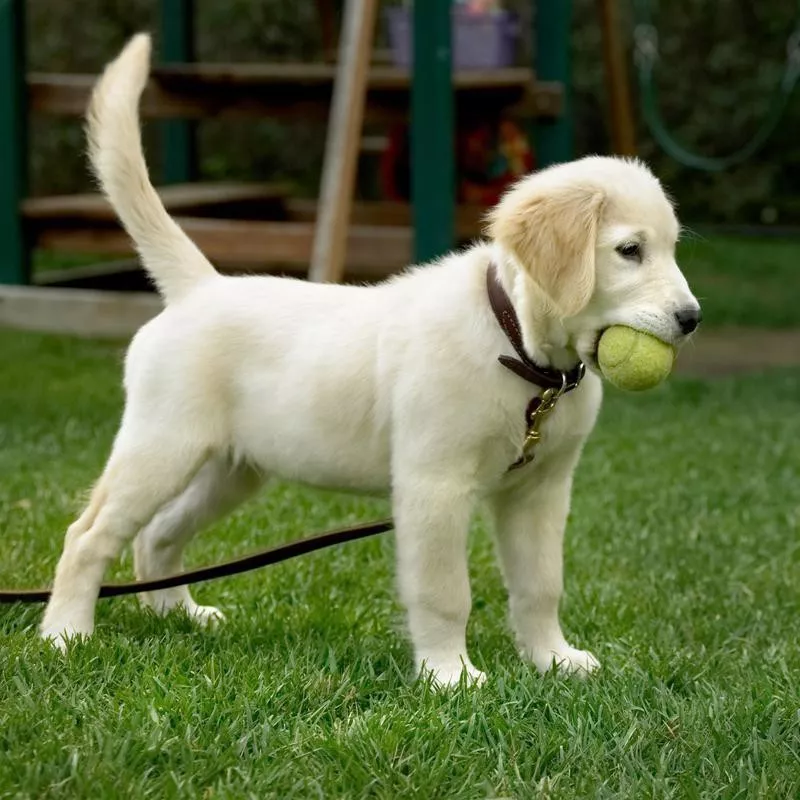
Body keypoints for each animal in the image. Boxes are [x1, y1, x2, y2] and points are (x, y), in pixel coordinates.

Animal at [39, 36, 700, 688]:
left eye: (671, 248)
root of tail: (200, 286)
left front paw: (553, 660)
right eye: (629, 251)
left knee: (156, 536)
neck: (521, 353)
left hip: (232, 468)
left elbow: (541, 586)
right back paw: (66, 634)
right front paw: (450, 675)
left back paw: (179, 615)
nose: (691, 318)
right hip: (162, 446)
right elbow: (445, 594)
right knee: (88, 535)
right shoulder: (434, 486)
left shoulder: (540, 491)